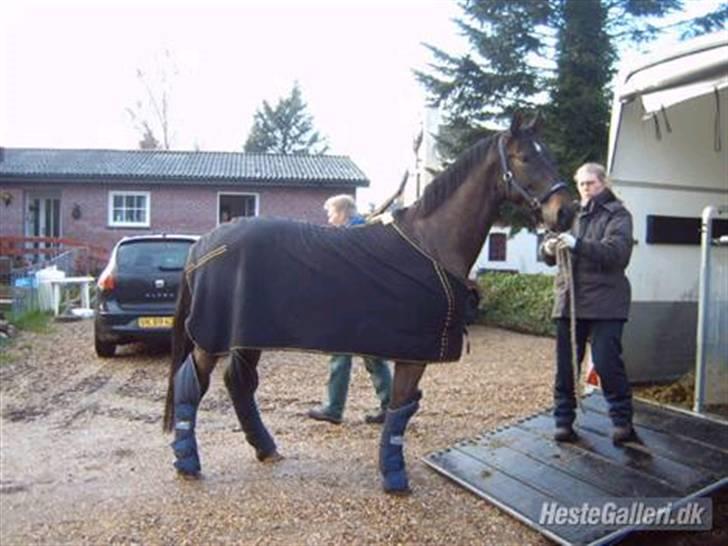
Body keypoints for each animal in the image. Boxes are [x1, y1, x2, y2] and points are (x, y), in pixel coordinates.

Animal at [164, 112, 576, 490]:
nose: (565, 211)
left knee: (238, 383)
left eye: (551, 155)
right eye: (524, 157)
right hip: (212, 337)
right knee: (192, 383)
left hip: (248, 334)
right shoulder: (414, 354)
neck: (430, 243)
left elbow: (401, 407)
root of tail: (203, 244)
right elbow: (401, 407)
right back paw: (187, 463)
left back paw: (265, 448)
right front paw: (395, 477)